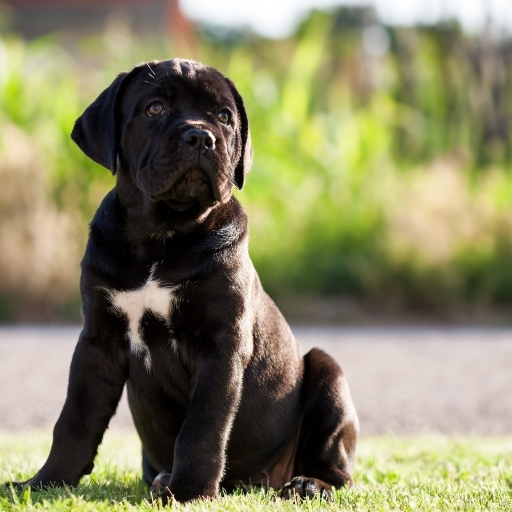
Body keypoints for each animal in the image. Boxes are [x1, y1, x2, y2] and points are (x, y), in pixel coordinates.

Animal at [9, 59, 360, 500]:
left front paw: (190, 491)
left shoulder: (219, 345)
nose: (200, 136)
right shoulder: (98, 341)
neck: (161, 237)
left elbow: (202, 427)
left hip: (329, 374)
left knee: (339, 469)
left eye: (224, 117)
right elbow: (75, 418)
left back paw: (308, 483)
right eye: (155, 108)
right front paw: (46, 482)